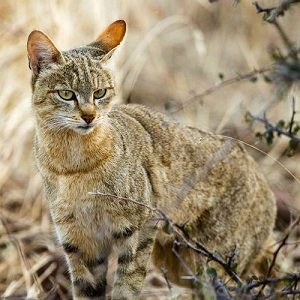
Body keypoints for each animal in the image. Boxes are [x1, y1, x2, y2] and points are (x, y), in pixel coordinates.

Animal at [27, 19, 276, 298]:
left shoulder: (139, 228)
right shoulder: (78, 240)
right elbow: (86, 289)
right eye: (66, 94)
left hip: (214, 265)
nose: (89, 116)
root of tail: (263, 181)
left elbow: (126, 287)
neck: (72, 164)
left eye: (100, 93)